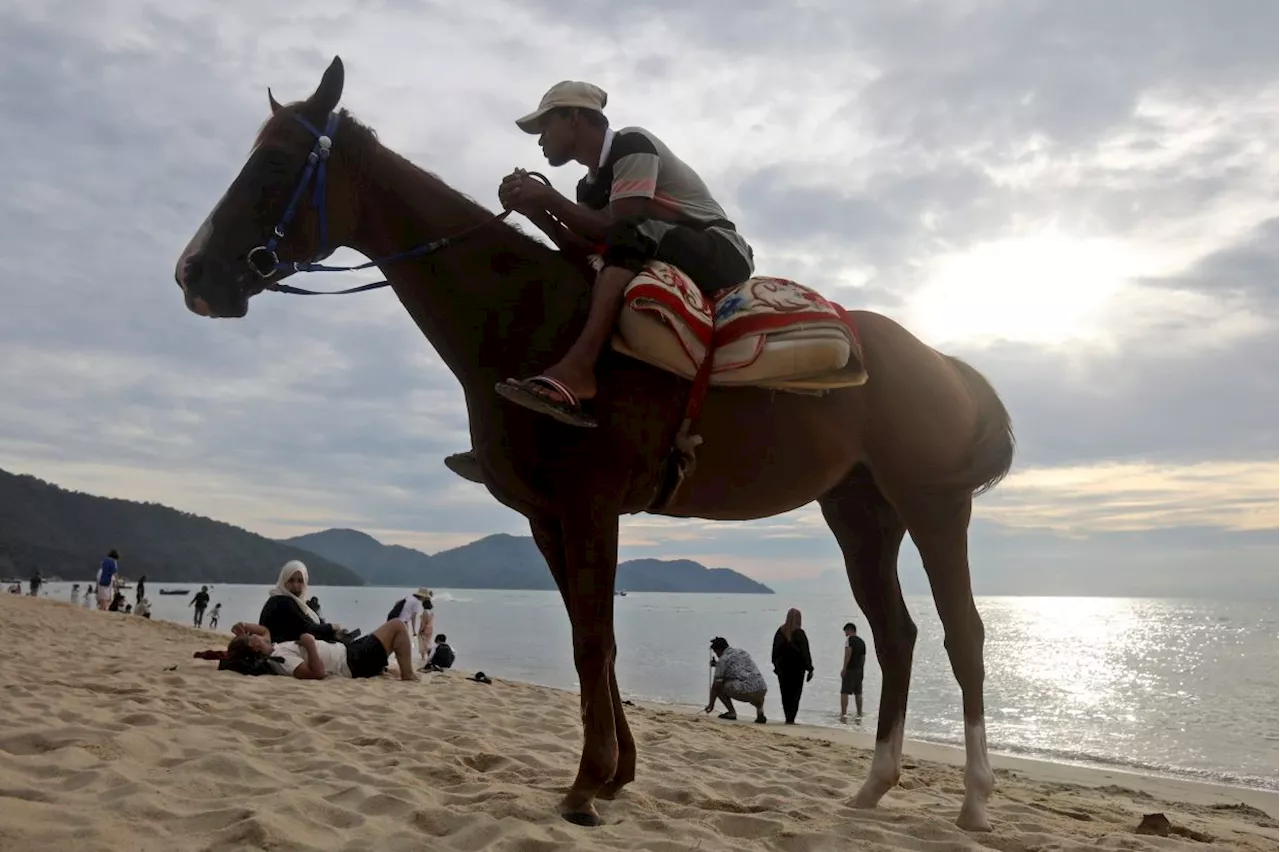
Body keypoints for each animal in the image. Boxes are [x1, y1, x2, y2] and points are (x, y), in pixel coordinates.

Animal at [170, 56, 1013, 823]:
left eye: (274, 162)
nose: (193, 273)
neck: (526, 319)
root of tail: (944, 365)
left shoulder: (589, 505)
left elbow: (594, 644)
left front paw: (587, 784)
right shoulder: (548, 516)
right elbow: (589, 638)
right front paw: (612, 775)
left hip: (932, 504)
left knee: (963, 634)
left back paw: (974, 802)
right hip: (861, 511)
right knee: (897, 634)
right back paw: (872, 786)